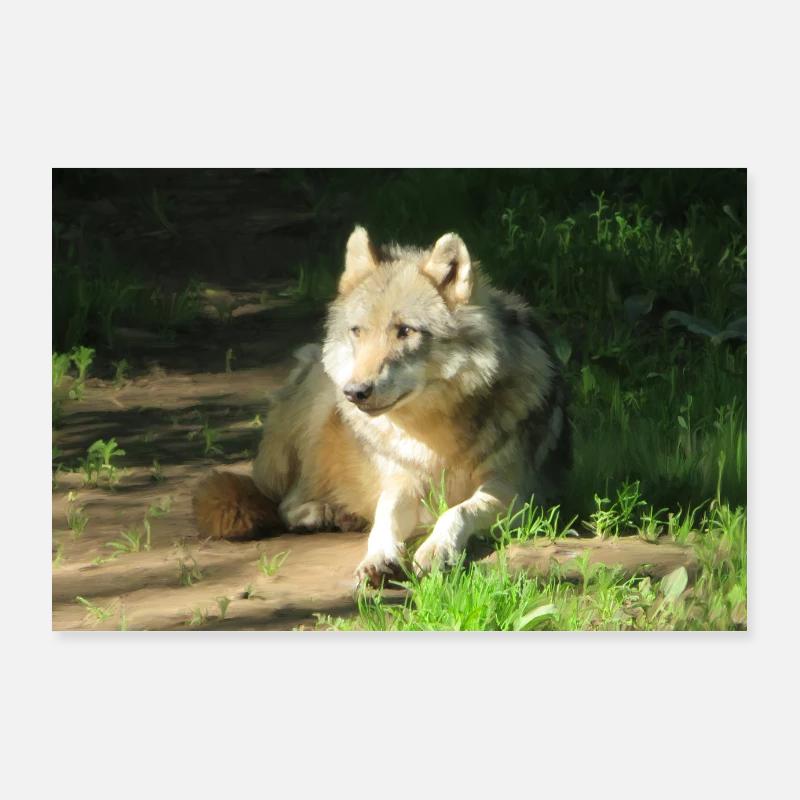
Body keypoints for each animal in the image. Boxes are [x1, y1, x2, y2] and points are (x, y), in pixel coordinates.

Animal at [193, 226, 570, 585]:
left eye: (405, 331)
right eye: (358, 331)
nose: (355, 391)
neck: (433, 435)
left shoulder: (517, 495)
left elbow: (458, 511)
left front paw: (435, 550)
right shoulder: (400, 482)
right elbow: (385, 518)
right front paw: (377, 558)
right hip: (322, 399)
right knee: (284, 502)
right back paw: (325, 514)